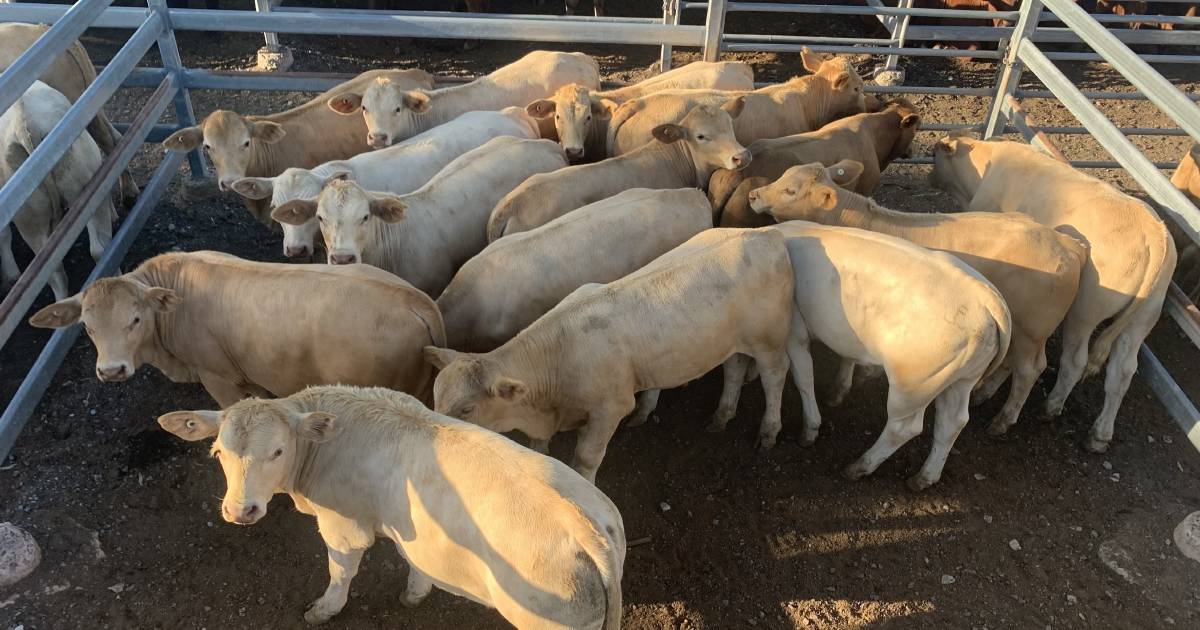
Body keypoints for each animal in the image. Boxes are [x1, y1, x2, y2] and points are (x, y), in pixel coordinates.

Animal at [162, 386, 628, 624]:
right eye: (218, 453)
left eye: (277, 451)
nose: (241, 511)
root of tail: (587, 525)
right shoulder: (413, 529)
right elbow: (417, 561)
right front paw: (415, 592)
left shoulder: (344, 527)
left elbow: (340, 574)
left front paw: (323, 610)